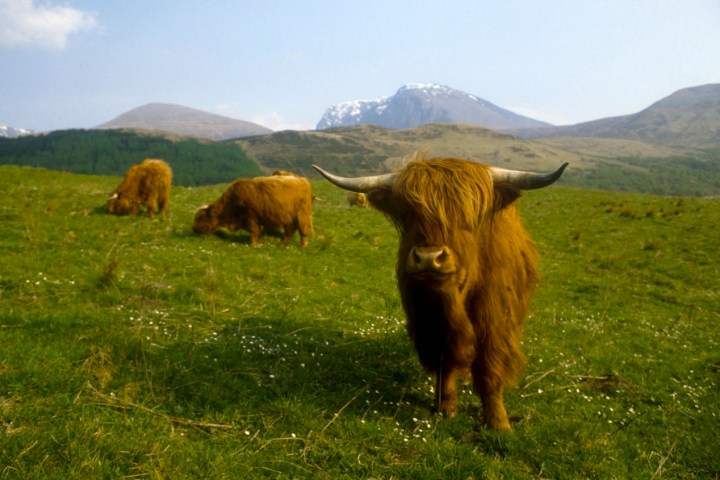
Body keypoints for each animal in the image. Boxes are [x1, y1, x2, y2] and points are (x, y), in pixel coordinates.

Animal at [316, 155, 568, 432]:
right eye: (409, 214)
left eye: (467, 214)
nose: (429, 258)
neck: (452, 300)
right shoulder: (430, 323)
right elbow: (444, 364)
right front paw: (446, 407)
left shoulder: (495, 323)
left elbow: (490, 371)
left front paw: (498, 422)